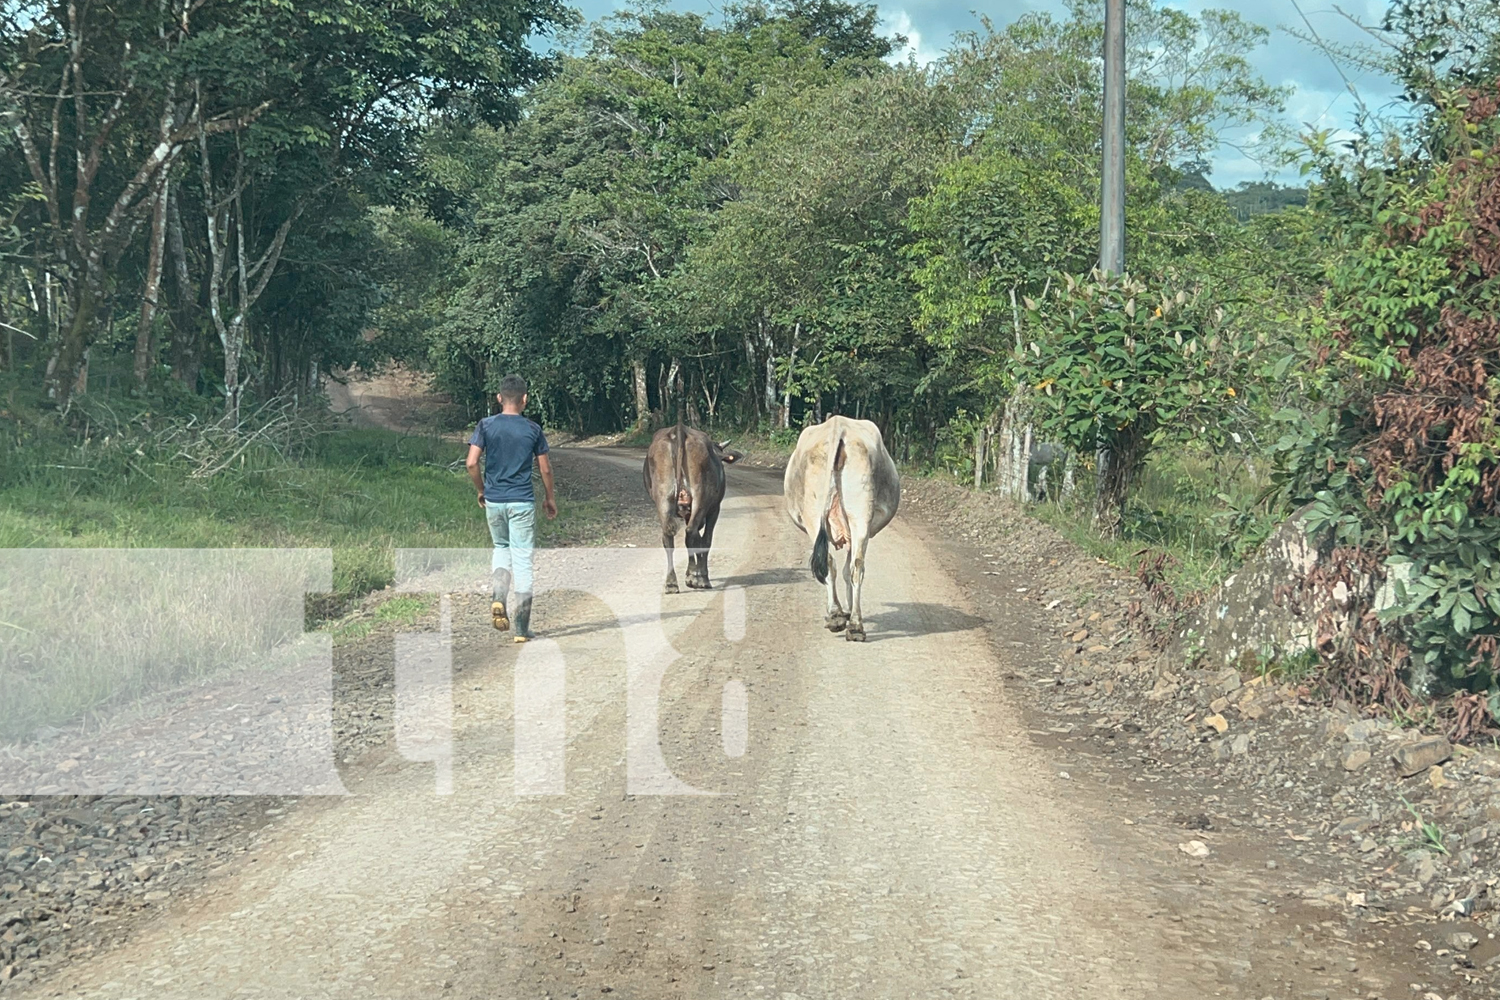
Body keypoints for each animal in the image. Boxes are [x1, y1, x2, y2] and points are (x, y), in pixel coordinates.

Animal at [639, 419, 744, 593]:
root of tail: (679, 431)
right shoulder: (714, 508)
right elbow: (705, 540)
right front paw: (699, 575)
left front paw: (692, 573)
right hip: (700, 497)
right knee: (691, 533)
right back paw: (698, 579)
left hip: (663, 499)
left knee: (669, 536)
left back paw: (672, 583)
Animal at [786, 413, 900, 641]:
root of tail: (837, 426)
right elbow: (849, 569)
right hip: (859, 518)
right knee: (856, 566)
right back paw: (854, 625)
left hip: (815, 518)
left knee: (831, 564)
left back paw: (836, 615)